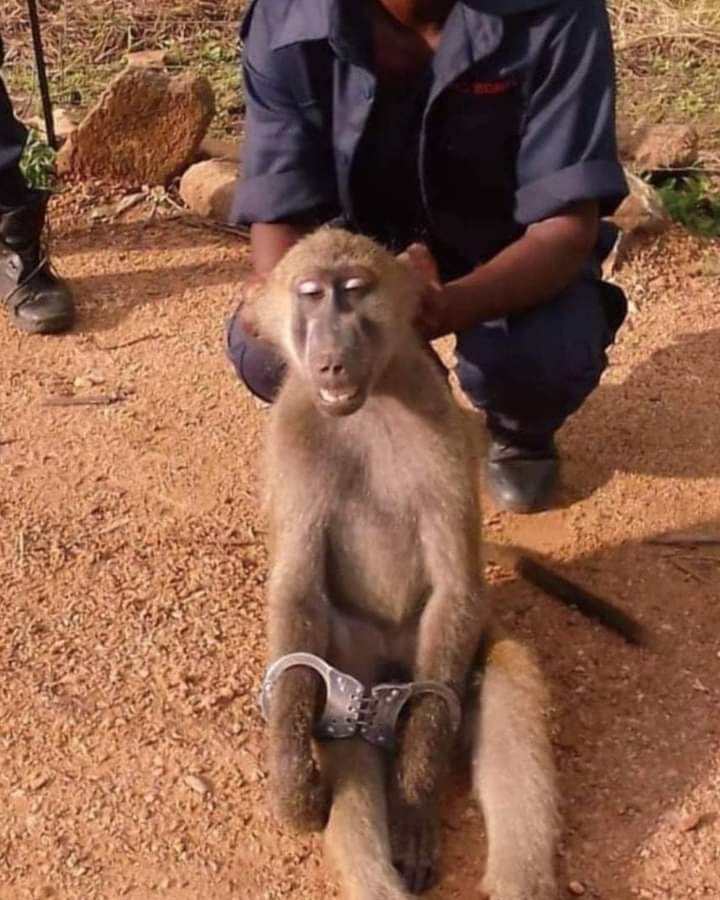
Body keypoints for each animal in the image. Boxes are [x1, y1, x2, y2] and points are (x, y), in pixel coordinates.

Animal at [254, 226, 568, 900]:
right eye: (310, 296)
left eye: (352, 292)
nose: (331, 359)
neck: (368, 403)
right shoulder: (292, 435)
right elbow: (297, 591)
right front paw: (294, 791)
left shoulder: (441, 426)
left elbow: (455, 588)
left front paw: (415, 802)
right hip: (353, 682)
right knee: (348, 755)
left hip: (440, 661)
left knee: (504, 680)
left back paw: (514, 878)